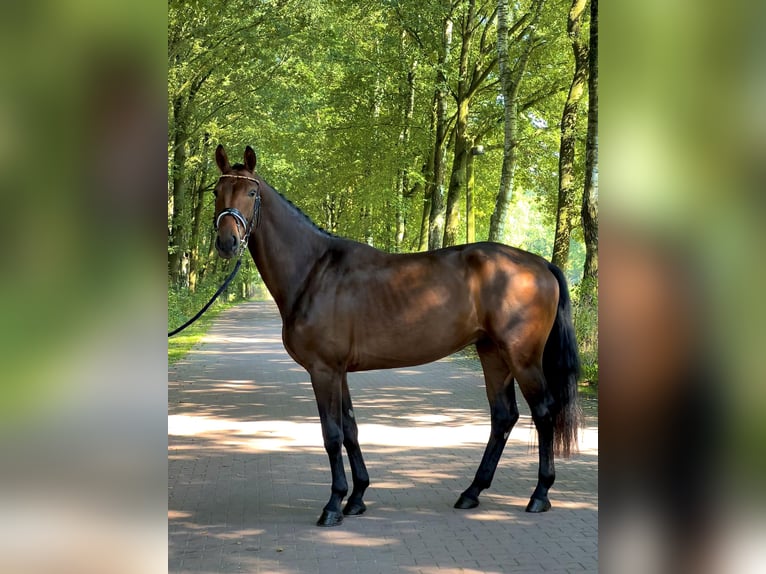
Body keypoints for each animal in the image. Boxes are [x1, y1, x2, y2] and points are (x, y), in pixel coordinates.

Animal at [210, 146, 584, 528]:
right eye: (217, 192)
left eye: (251, 193)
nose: (227, 242)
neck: (314, 271)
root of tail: (541, 264)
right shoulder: (339, 371)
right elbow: (350, 428)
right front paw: (357, 497)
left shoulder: (323, 370)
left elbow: (332, 434)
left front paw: (333, 504)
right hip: (492, 352)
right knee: (503, 416)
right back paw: (471, 492)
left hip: (522, 357)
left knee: (543, 412)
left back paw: (539, 495)